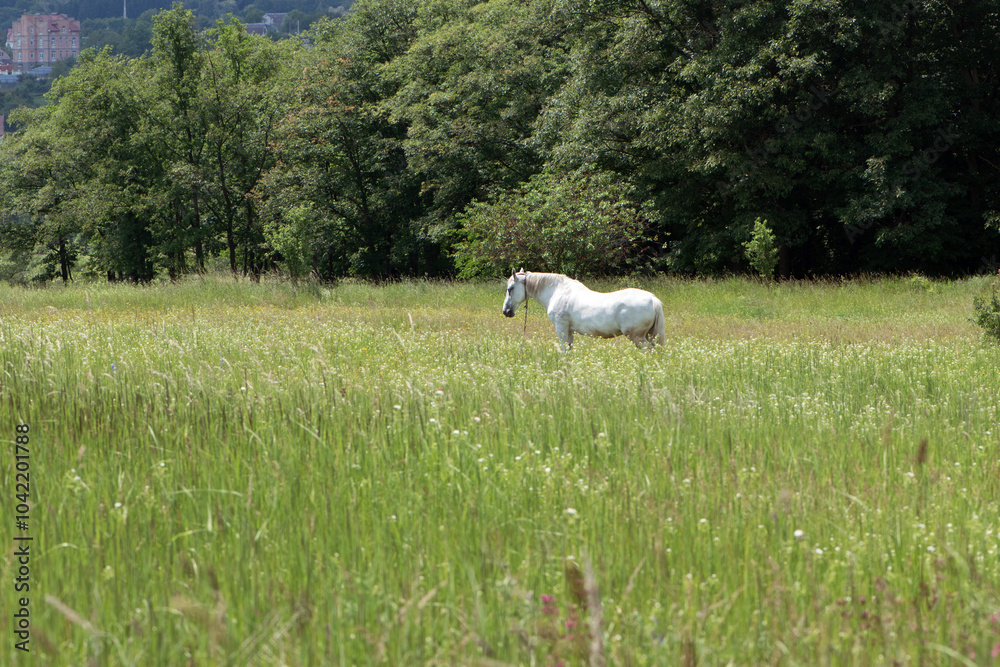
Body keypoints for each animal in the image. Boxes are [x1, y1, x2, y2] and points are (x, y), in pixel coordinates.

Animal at [501, 269, 666, 349]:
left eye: (510, 289)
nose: (506, 311)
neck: (557, 291)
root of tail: (653, 300)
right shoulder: (569, 332)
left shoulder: (561, 328)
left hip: (637, 337)